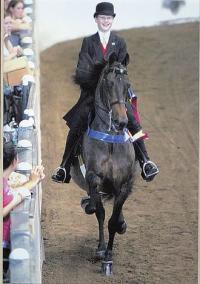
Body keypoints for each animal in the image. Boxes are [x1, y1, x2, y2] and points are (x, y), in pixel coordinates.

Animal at [70, 53, 136, 276]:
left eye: (127, 85)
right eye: (108, 83)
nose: (121, 122)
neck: (110, 141)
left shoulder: (124, 183)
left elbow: (113, 221)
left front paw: (108, 257)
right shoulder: (94, 178)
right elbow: (100, 212)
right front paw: (101, 251)